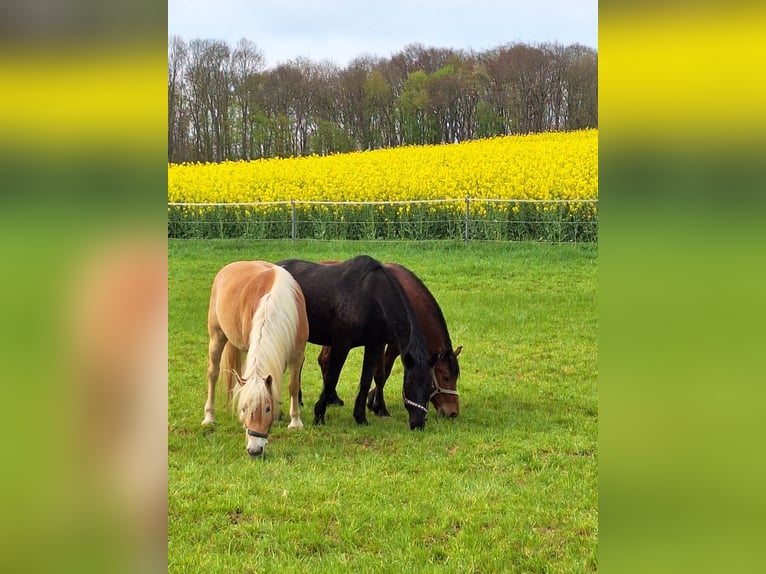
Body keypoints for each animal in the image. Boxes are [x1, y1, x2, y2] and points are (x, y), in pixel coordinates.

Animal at [201, 261, 309, 457]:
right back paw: (209, 417)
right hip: (217, 336)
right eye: (244, 408)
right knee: (213, 374)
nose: (254, 450)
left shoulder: (297, 355)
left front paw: (295, 422)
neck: (274, 303)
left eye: (267, 408)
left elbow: (292, 386)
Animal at [276, 255, 435, 430]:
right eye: (409, 383)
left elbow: (366, 380)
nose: (418, 424)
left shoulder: (374, 345)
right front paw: (319, 414)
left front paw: (360, 417)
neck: (371, 296)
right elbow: (332, 378)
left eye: (430, 387)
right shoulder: (341, 344)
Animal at [316, 262, 462, 418]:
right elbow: (382, 373)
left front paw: (372, 400)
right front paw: (379, 407)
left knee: (324, 360)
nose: (452, 412)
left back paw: (333, 398)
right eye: (446, 377)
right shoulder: (386, 344)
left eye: (456, 378)